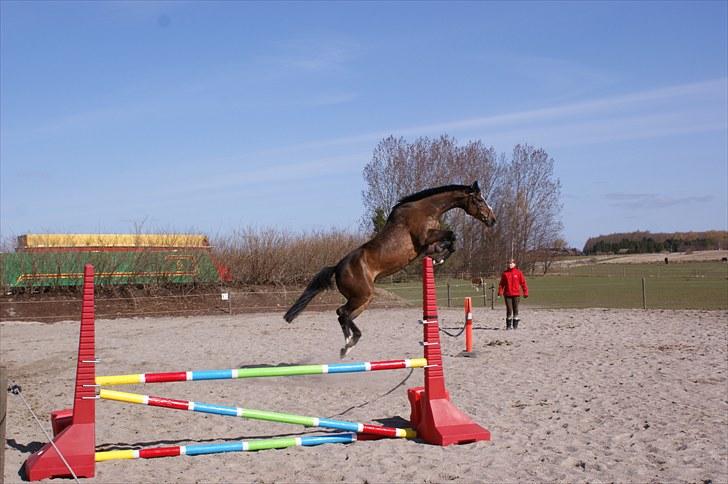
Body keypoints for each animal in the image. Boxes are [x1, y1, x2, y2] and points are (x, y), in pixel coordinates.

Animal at [282, 182, 494, 356]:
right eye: (479, 200)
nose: (492, 220)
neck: (427, 209)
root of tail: (337, 267)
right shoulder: (425, 237)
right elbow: (452, 235)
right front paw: (438, 259)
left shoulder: (428, 243)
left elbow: (450, 242)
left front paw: (438, 258)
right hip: (362, 295)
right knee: (342, 312)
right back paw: (351, 342)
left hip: (364, 299)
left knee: (343, 315)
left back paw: (348, 345)